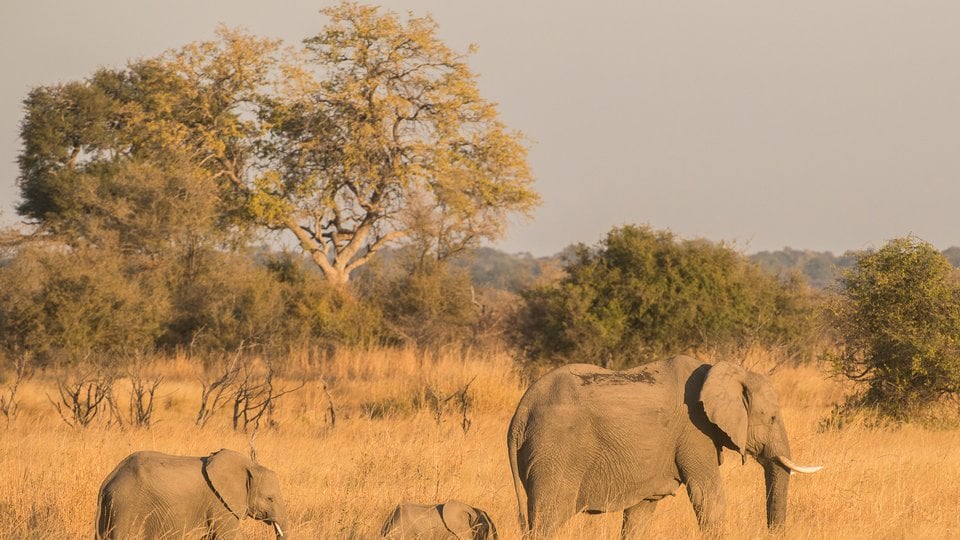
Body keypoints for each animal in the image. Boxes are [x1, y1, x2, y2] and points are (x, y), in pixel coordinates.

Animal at [96, 448, 288, 539]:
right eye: (270, 499)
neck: (249, 465)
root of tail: (106, 483)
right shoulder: (220, 504)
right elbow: (230, 536)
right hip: (127, 507)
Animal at [507, 355, 822, 538]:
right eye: (771, 418)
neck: (723, 370)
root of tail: (521, 412)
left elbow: (642, 510)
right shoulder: (694, 431)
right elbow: (709, 496)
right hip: (556, 452)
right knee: (547, 519)